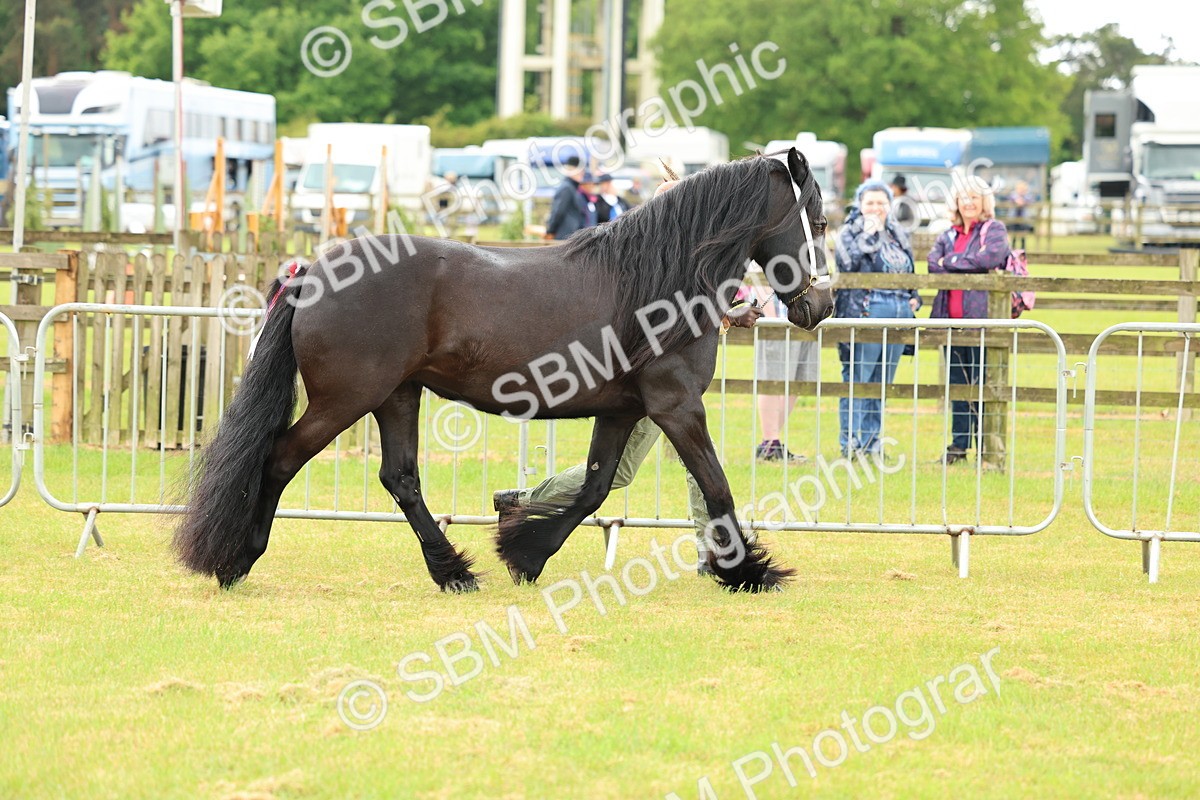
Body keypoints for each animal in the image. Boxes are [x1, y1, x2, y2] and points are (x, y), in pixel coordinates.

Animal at [173, 147, 834, 593]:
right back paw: (237, 559)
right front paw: (750, 570)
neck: (659, 282)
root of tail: (312, 270)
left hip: (396, 396)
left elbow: (593, 490)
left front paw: (525, 552)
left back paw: (453, 571)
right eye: (820, 220)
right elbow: (716, 486)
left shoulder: (622, 412)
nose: (821, 307)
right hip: (345, 399)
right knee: (281, 457)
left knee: (400, 479)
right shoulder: (677, 407)